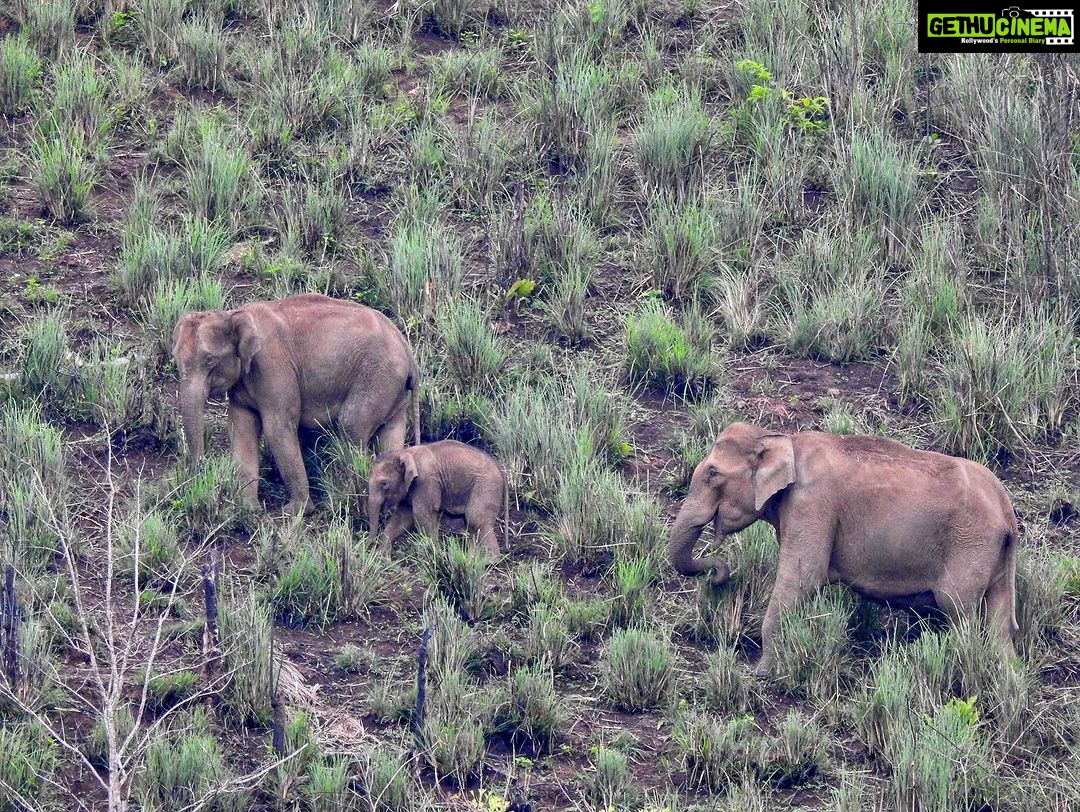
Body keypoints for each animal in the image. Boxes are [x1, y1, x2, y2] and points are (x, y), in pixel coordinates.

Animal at [171, 293, 421, 515]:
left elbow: (277, 429)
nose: (198, 472)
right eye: (175, 358)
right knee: (390, 436)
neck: (233, 314)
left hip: (376, 378)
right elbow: (242, 430)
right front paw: (247, 508)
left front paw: (296, 511)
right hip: (391, 389)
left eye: (209, 360)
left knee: (352, 427)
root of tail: (406, 348)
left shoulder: (273, 366)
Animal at [367, 440, 508, 555]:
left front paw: (435, 553)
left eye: (384, 483)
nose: (369, 546)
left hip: (486, 486)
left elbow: (421, 514)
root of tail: (501, 470)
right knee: (472, 525)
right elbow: (402, 517)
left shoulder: (426, 480)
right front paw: (381, 556)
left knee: (476, 520)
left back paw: (489, 561)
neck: (406, 453)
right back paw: (472, 559)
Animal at [668, 422, 1019, 677]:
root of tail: (1008, 512)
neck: (782, 439)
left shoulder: (812, 504)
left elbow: (803, 578)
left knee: (959, 611)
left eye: (713, 474)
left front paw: (762, 673)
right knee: (999, 623)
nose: (720, 575)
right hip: (993, 556)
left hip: (969, 546)